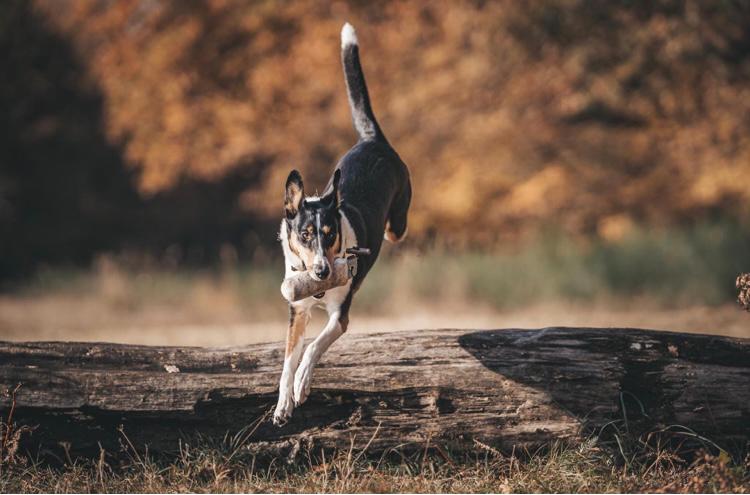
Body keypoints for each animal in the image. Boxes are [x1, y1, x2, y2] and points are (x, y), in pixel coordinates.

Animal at [274, 23, 414, 426]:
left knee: (395, 230)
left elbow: (313, 348)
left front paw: (303, 384)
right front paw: (283, 404)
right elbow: (287, 359)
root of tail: (372, 139)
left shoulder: (340, 316)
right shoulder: (297, 311)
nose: (322, 272)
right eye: (304, 236)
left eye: (330, 234)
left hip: (398, 221)